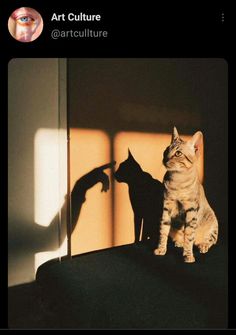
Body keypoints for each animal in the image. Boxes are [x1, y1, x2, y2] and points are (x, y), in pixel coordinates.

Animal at [154, 127, 218, 264]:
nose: (165, 159)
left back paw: (202, 245)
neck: (177, 181)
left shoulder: (191, 210)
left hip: (213, 223)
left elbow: (189, 235)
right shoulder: (166, 207)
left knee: (207, 240)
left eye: (178, 153)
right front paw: (161, 249)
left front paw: (188, 255)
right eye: (166, 150)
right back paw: (179, 243)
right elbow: (163, 231)